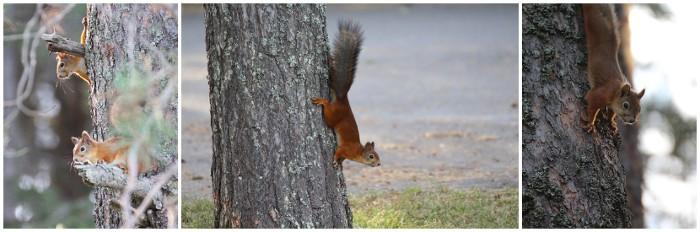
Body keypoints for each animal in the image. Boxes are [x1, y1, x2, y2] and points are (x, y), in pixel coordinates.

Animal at [312, 20, 380, 168]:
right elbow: (338, 152)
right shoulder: (345, 149)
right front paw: (335, 160)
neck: (358, 151)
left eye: (378, 155)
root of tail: (343, 100)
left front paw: (340, 163)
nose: (379, 164)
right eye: (371, 156)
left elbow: (342, 158)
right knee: (328, 113)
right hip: (333, 115)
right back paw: (322, 101)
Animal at [580, 4, 644, 133]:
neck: (616, 92)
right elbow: (591, 104)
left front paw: (612, 123)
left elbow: (612, 114)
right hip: (592, 18)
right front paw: (591, 124)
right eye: (626, 105)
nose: (632, 120)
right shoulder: (600, 94)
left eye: (639, 109)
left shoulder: (612, 106)